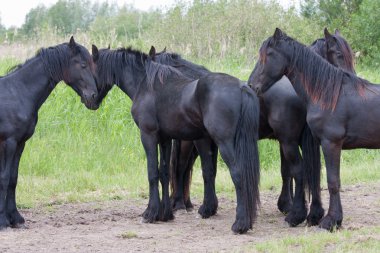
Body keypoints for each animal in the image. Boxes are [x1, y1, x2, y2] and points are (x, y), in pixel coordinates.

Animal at [0, 37, 99, 229]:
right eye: (83, 65)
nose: (93, 97)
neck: (18, 92)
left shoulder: (20, 144)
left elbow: (13, 179)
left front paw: (16, 218)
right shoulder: (8, 143)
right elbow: (4, 178)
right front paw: (3, 221)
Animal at [91, 45, 262, 233]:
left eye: (91, 67)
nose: (91, 98)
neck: (145, 85)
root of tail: (241, 87)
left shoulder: (148, 136)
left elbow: (152, 173)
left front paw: (150, 213)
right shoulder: (165, 139)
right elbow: (164, 173)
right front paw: (165, 214)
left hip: (224, 143)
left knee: (238, 174)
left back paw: (240, 224)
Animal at [168, 28, 354, 226]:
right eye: (339, 54)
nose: (350, 80)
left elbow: (208, 170)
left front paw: (208, 207)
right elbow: (288, 171)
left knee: (182, 166)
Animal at [249, 28, 374, 231]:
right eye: (339, 54)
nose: (353, 79)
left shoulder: (289, 140)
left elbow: (293, 171)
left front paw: (291, 207)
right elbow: (293, 171)